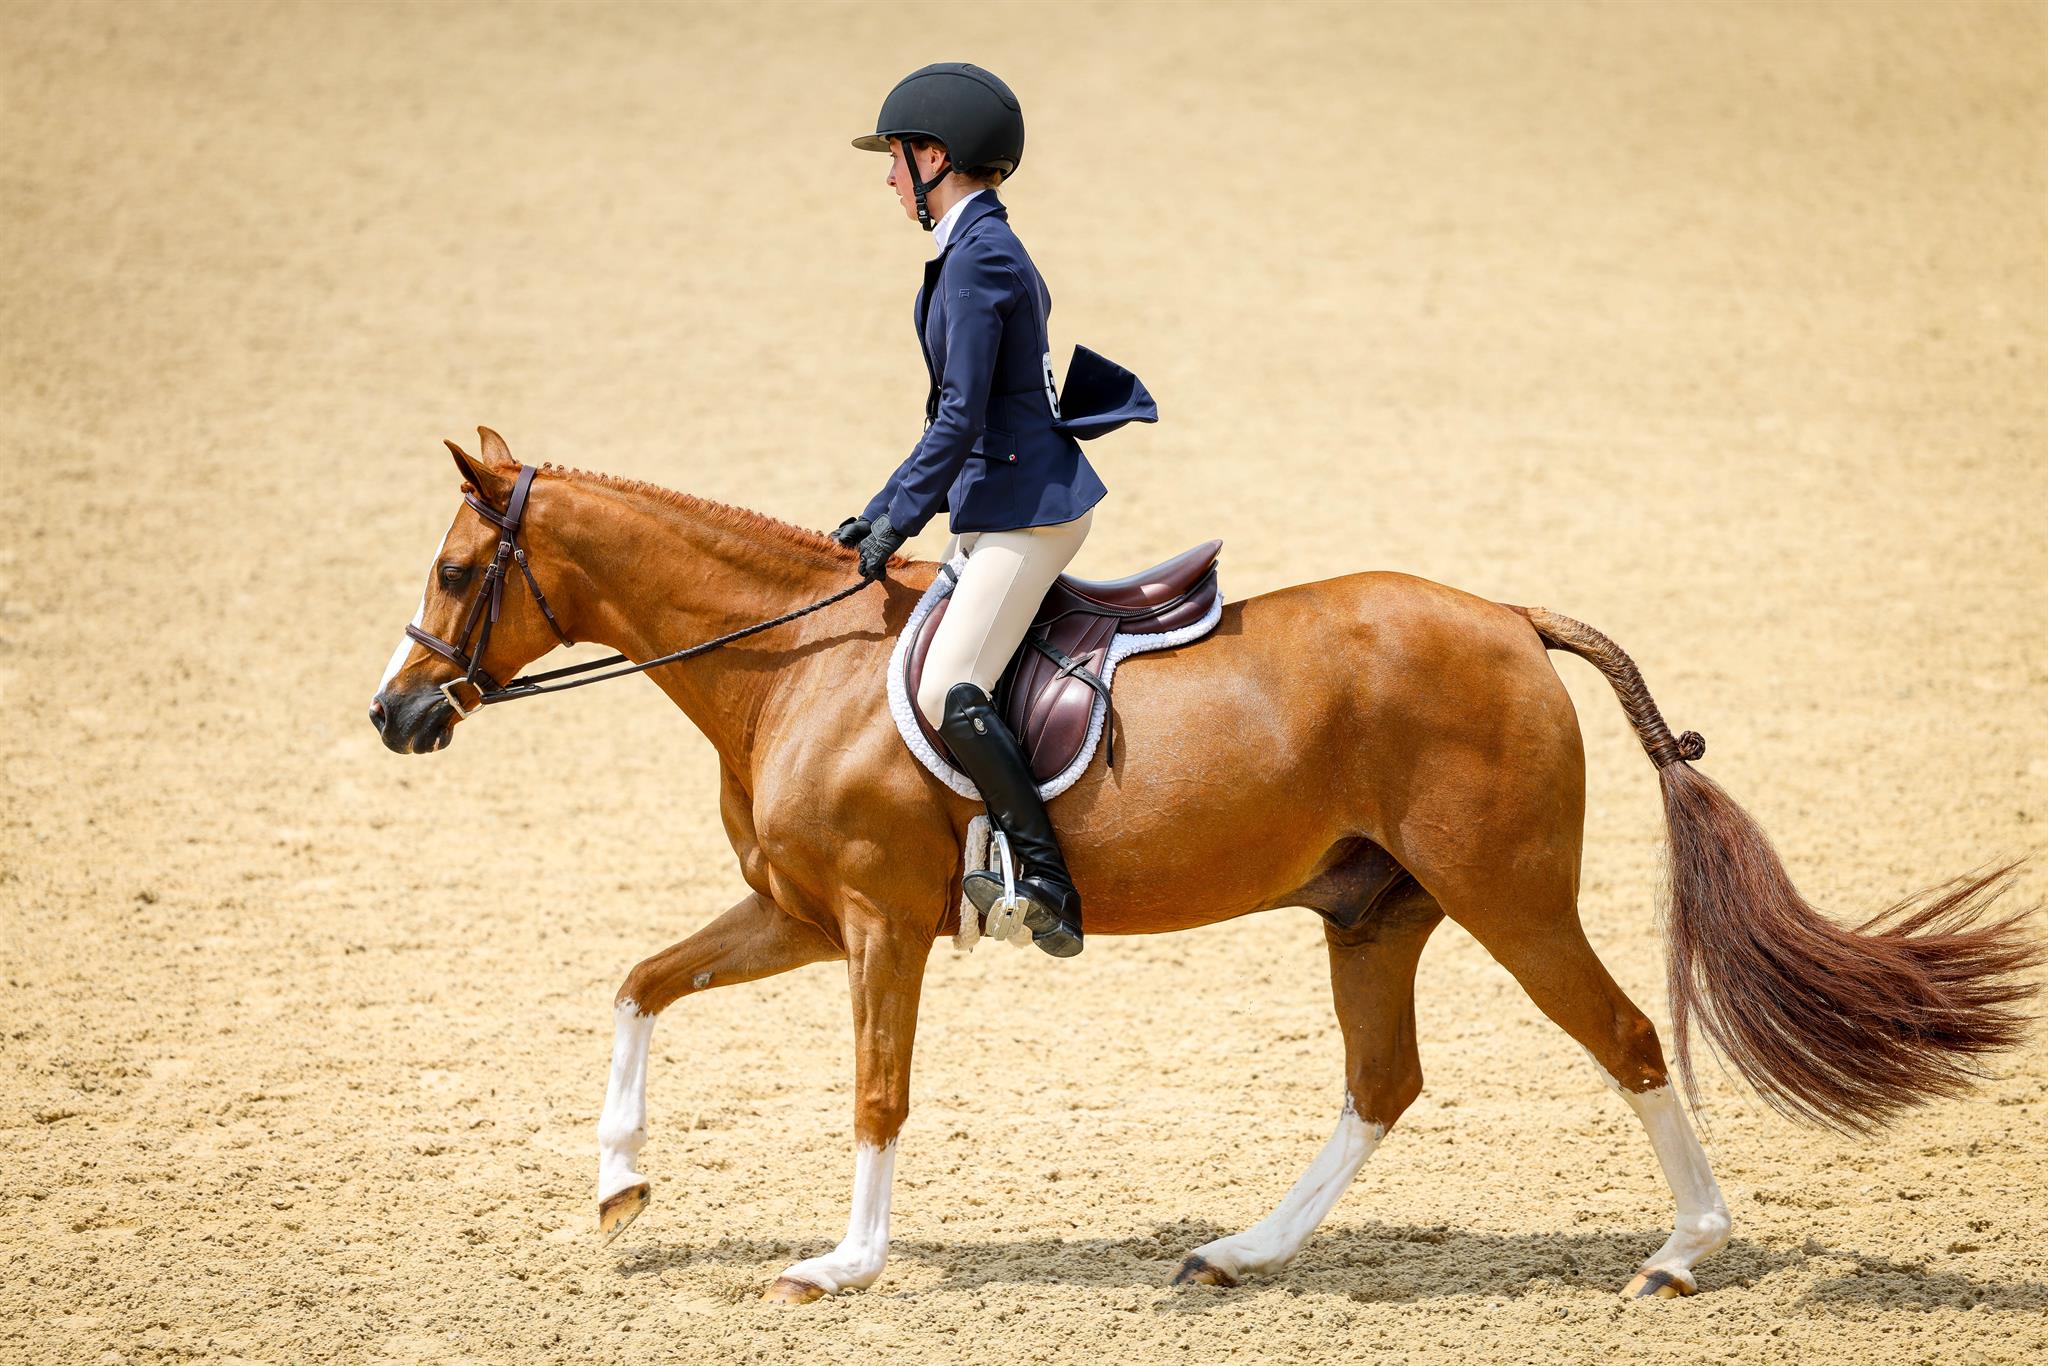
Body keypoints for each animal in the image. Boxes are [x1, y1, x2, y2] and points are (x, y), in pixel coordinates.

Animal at [369, 429, 2038, 1303]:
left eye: (455, 572)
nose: (392, 714)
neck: (803, 665)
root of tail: (1508, 614)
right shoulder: (795, 912)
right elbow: (639, 982)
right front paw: (619, 1186)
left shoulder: (877, 923)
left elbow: (877, 1089)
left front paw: (843, 1261)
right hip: (1376, 912)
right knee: (1383, 1082)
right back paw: (1243, 1246)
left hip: (1508, 897)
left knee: (1623, 1037)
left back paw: (1685, 1253)